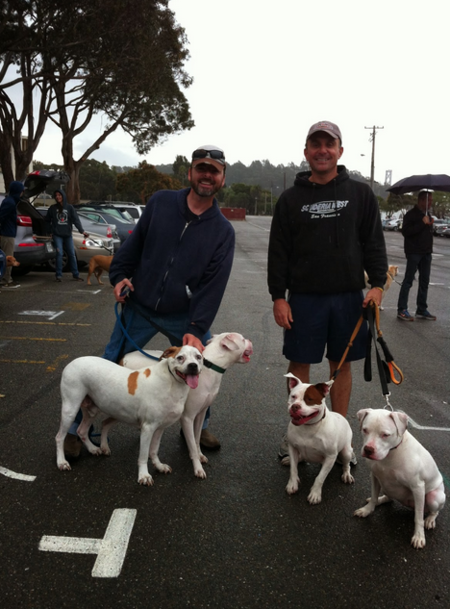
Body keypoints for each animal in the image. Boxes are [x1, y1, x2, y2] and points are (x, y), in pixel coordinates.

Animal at [55, 346, 203, 484]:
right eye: (180, 357)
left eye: (198, 357)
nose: (193, 366)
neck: (172, 383)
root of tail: (73, 362)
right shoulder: (148, 428)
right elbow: (143, 455)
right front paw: (144, 476)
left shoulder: (160, 428)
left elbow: (154, 450)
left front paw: (159, 466)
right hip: (70, 410)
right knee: (59, 437)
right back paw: (62, 462)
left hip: (93, 410)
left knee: (82, 430)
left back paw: (93, 449)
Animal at [120, 334, 253, 478]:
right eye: (243, 339)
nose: (250, 341)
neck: (209, 367)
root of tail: (123, 357)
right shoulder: (187, 418)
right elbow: (192, 446)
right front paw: (198, 468)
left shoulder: (201, 413)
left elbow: (196, 438)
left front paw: (200, 455)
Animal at [284, 372, 356, 506]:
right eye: (293, 396)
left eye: (309, 399)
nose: (295, 406)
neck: (308, 427)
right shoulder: (292, 448)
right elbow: (293, 469)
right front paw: (292, 484)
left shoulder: (330, 457)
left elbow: (320, 478)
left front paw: (315, 494)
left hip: (346, 452)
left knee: (346, 464)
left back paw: (346, 475)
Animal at [356, 408, 446, 548]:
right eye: (365, 430)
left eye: (385, 435)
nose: (368, 449)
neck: (390, 454)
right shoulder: (374, 476)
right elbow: (374, 496)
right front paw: (367, 510)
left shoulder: (418, 488)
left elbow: (418, 517)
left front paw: (419, 536)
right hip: (386, 486)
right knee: (388, 497)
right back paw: (381, 500)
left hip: (434, 497)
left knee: (434, 511)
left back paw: (430, 519)